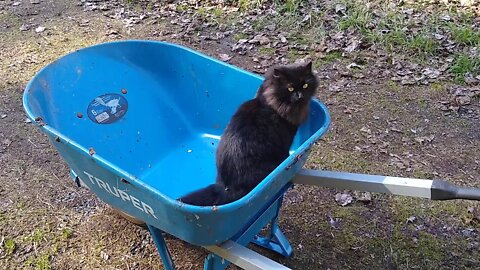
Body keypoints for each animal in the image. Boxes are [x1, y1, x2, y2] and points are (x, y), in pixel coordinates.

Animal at [178, 60, 316, 205]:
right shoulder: (286, 139)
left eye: (305, 85)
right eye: (290, 89)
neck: (268, 101)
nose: (300, 96)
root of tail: (225, 187)